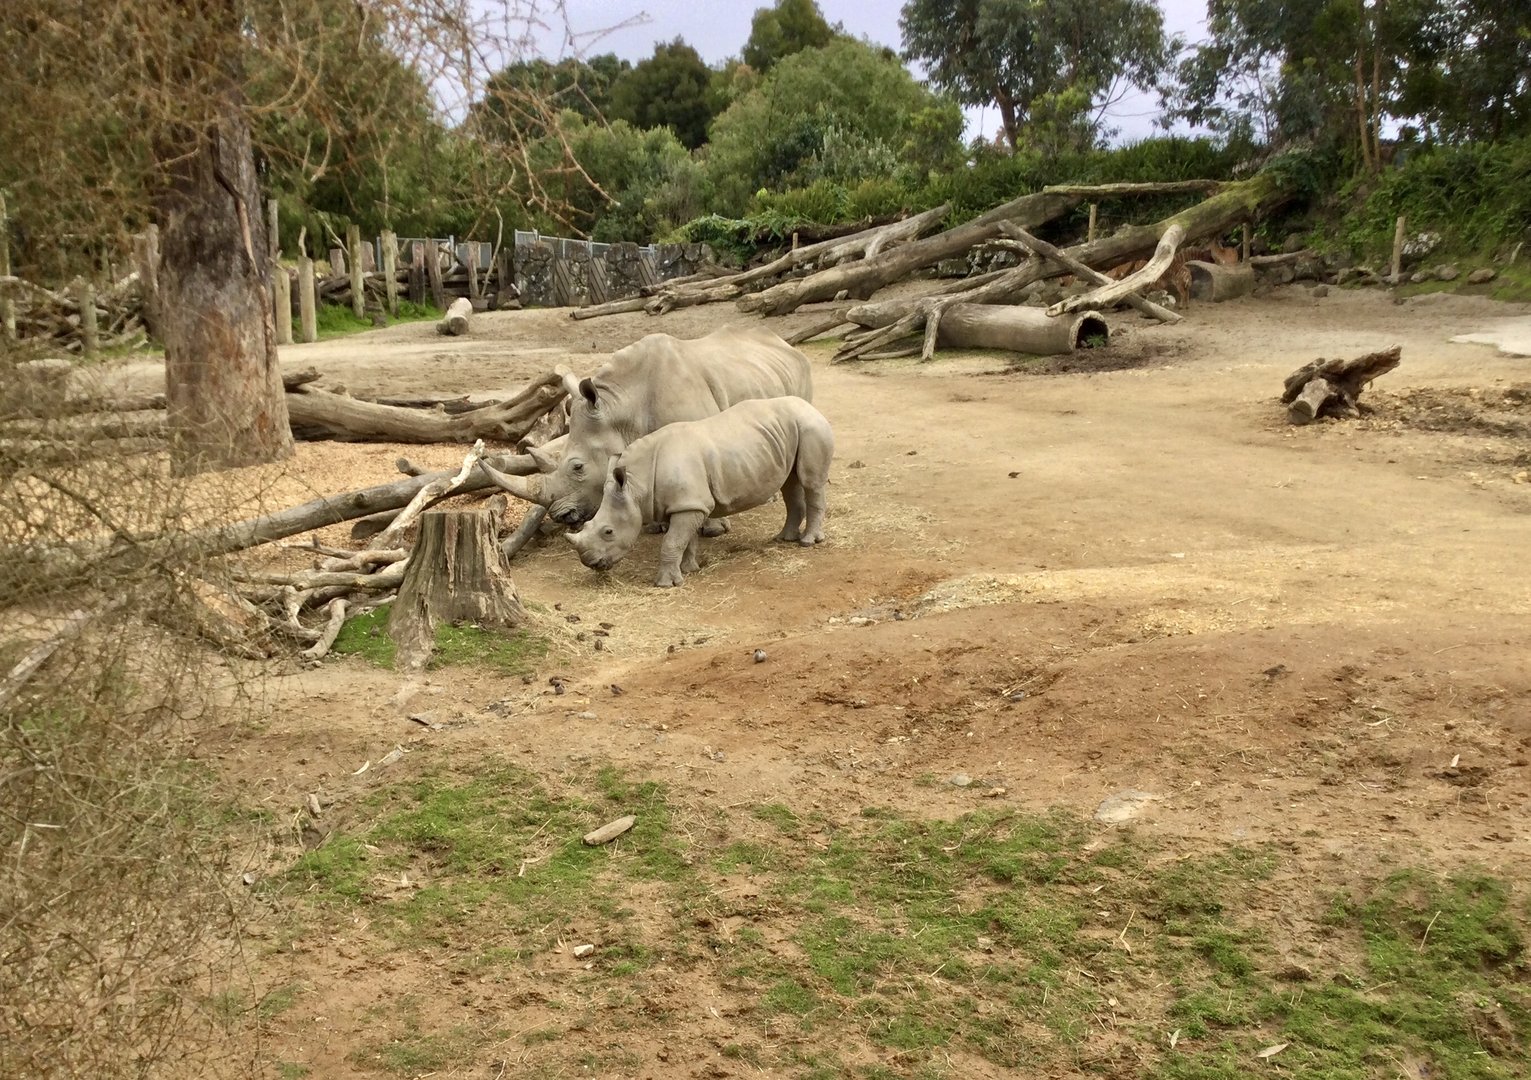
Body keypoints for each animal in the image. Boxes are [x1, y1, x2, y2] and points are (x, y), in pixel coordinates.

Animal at [498, 326, 813, 530]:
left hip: (801, 374)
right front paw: (655, 526)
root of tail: (785, 343)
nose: (561, 516)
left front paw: (713, 529)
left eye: (578, 467)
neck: (622, 408)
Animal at [566, 396, 834, 587]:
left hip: (811, 428)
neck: (635, 484)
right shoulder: (688, 503)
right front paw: (689, 570)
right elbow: (686, 540)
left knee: (810, 482)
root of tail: (812, 408)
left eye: (608, 531)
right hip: (790, 432)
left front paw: (666, 584)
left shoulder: (689, 504)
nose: (590, 563)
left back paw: (808, 543)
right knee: (790, 483)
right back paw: (784, 538)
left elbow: (672, 541)